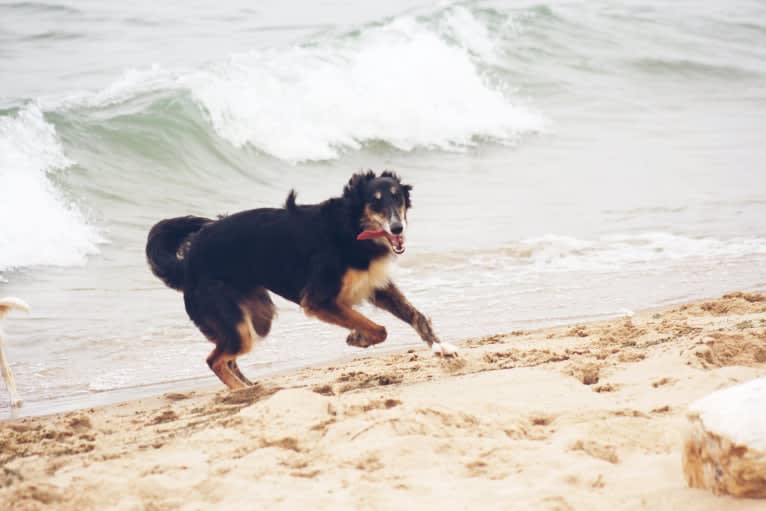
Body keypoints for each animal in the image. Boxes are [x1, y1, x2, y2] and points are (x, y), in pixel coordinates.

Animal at [147, 170, 460, 390]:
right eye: (375, 202)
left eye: (397, 197)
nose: (397, 228)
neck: (351, 226)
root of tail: (187, 262)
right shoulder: (319, 300)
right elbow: (378, 329)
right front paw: (357, 337)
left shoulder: (374, 286)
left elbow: (416, 316)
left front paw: (440, 347)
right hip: (237, 324)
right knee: (214, 360)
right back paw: (240, 391)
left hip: (257, 318)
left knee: (227, 357)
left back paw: (249, 386)